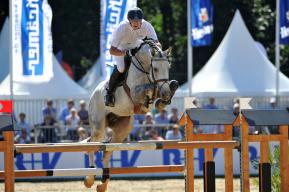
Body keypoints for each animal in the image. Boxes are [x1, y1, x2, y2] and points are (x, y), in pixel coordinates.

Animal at [84, 39, 177, 191]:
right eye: (156, 68)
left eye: (168, 67)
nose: (165, 94)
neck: (145, 67)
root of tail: (93, 93)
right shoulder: (135, 92)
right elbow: (149, 87)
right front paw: (155, 98)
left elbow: (170, 85)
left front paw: (163, 100)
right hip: (98, 126)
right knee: (92, 144)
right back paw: (90, 178)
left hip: (122, 130)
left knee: (107, 151)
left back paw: (103, 183)